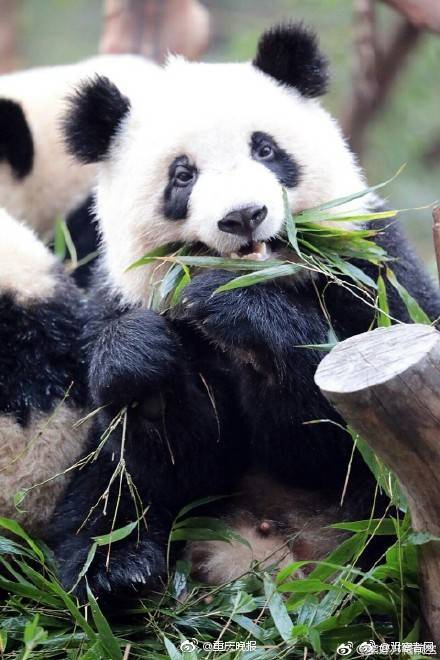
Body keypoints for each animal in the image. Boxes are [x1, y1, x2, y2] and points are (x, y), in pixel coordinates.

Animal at [48, 23, 440, 600]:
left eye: (266, 149)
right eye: (182, 175)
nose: (243, 216)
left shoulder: (374, 274)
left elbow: (335, 440)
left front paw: (238, 310)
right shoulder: (115, 298)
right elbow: (179, 463)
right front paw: (141, 358)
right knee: (100, 504)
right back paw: (118, 571)